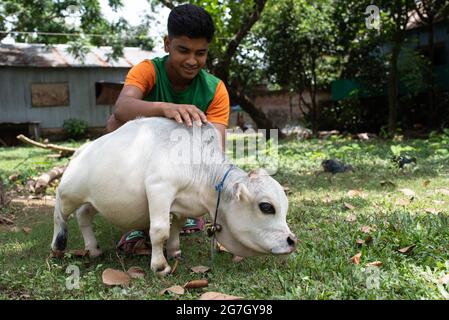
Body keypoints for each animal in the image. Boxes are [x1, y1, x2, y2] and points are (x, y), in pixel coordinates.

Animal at [50, 116, 296, 276]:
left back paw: (93, 249)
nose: (292, 241)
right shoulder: (159, 188)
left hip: (94, 200)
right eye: (266, 207)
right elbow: (160, 231)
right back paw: (58, 246)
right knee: (59, 213)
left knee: (83, 216)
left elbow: (176, 226)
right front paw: (160, 266)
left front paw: (174, 251)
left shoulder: (181, 204)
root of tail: (82, 150)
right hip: (69, 192)